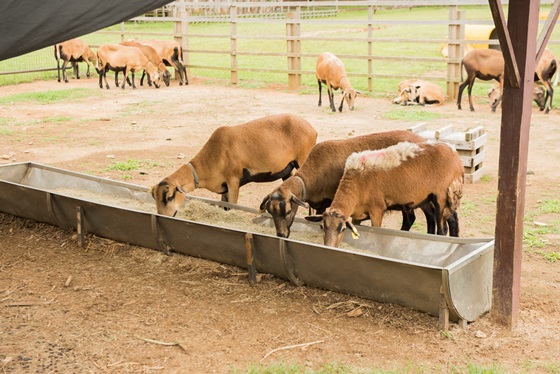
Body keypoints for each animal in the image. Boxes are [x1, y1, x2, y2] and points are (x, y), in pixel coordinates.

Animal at [151, 113, 318, 216]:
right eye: (155, 197)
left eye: (169, 197)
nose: (163, 216)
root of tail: (312, 129)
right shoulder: (223, 186)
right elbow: (224, 207)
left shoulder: (233, 181)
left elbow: (232, 207)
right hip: (287, 169)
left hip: (304, 159)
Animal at [306, 141, 464, 248]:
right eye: (321, 227)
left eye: (343, 229)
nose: (329, 247)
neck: (355, 183)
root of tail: (454, 152)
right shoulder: (358, 214)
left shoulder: (376, 210)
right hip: (435, 197)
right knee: (449, 218)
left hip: (442, 195)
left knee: (443, 229)